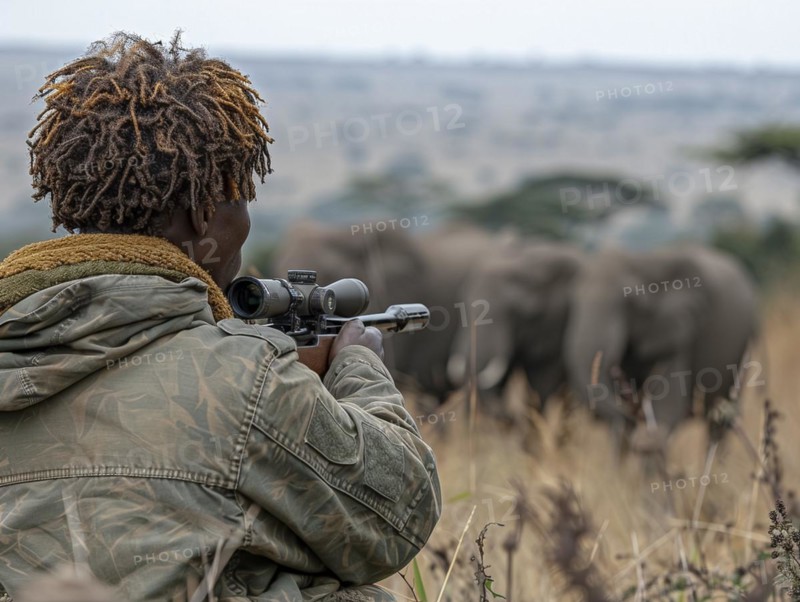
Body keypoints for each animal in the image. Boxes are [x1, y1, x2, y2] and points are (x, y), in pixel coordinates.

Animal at [563, 245, 758, 456]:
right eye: (574, 301)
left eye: (631, 303)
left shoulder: (681, 330)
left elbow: (667, 408)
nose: (635, 415)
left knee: (720, 421)